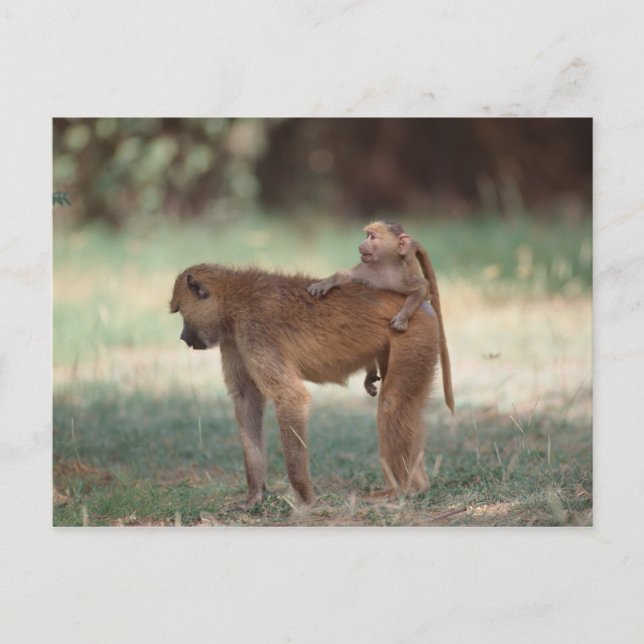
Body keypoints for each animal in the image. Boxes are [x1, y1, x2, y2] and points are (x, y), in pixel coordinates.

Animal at [171, 264, 440, 506]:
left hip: (413, 332)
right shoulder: (233, 340)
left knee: (392, 403)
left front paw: (305, 497)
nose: (182, 337)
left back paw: (398, 491)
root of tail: (418, 304)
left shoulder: (255, 331)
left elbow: (290, 396)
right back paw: (418, 487)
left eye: (181, 313)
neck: (233, 301)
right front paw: (255, 494)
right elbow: (246, 399)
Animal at [308, 221, 454, 413]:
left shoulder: (400, 277)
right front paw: (325, 283)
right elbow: (345, 275)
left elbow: (422, 288)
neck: (383, 267)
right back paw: (370, 374)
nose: (360, 245)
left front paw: (402, 319)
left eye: (372, 237)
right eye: (367, 235)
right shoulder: (365, 270)